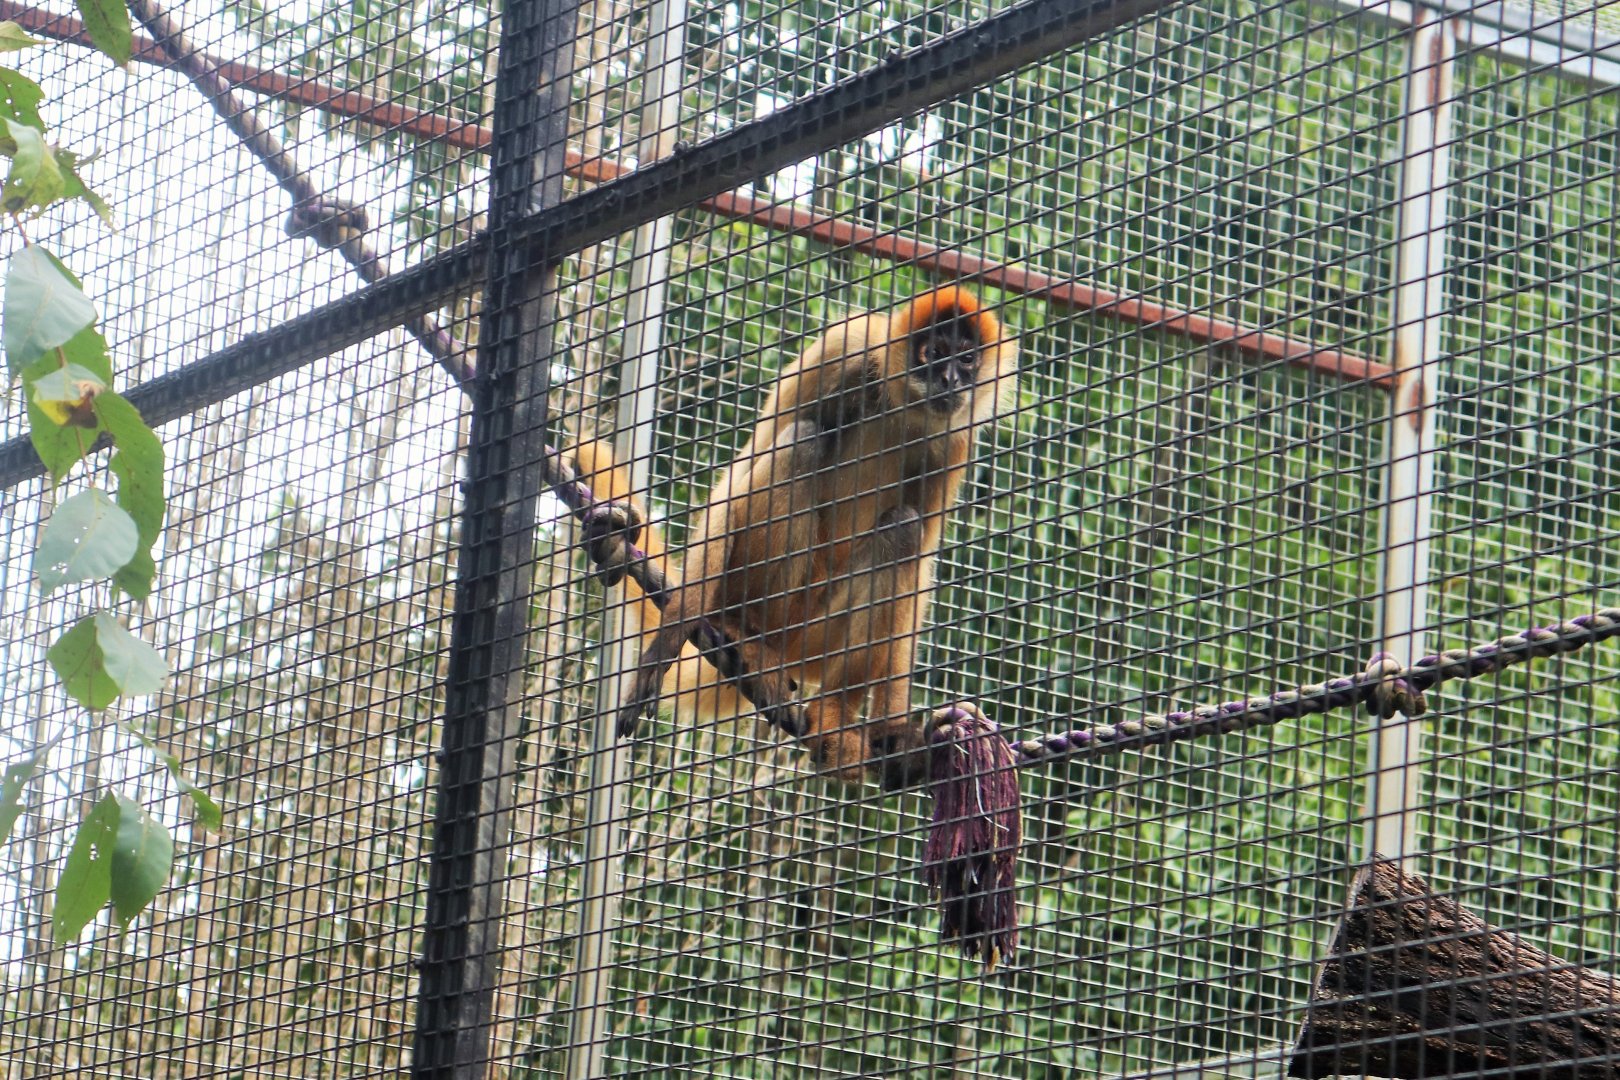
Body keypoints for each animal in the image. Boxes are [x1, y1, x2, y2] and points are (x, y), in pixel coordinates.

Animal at [573, 286, 1016, 789]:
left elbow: (920, 558)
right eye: (935, 353)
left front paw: (897, 738)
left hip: (819, 635)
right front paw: (662, 649)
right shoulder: (845, 348)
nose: (951, 380)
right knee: (801, 440)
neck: (905, 405)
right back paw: (748, 637)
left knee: (902, 529)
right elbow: (742, 474)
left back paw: (836, 716)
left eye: (967, 359)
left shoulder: (956, 435)